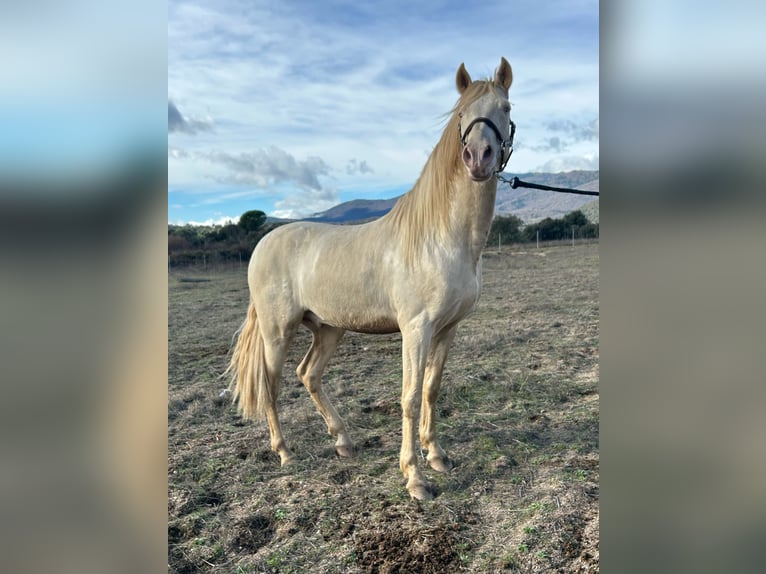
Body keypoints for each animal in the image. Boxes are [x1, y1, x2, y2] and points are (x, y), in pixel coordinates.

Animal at [228, 56, 516, 502]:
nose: (478, 158)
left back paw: (344, 442)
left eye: (505, 108)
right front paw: (415, 477)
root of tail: (264, 243)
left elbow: (431, 388)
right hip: (278, 332)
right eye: (461, 115)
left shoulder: (448, 328)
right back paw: (285, 453)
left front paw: (437, 456)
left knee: (308, 375)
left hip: (328, 329)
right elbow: (410, 397)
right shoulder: (416, 329)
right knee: (271, 385)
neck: (441, 237)